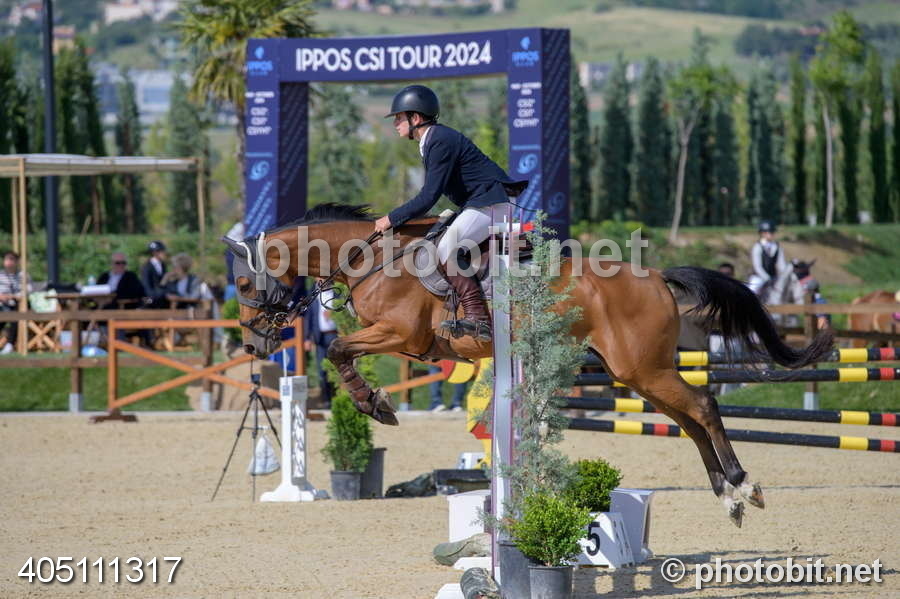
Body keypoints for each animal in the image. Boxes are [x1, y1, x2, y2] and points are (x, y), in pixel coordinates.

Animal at [224, 203, 834, 527]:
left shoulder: (397, 334)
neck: (371, 257)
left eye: (243, 284)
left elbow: (337, 351)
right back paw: (726, 494)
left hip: (645, 371)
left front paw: (375, 406)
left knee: (704, 405)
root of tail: (658, 277)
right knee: (688, 420)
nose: (254, 346)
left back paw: (744, 487)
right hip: (637, 375)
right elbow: (340, 353)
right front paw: (374, 402)